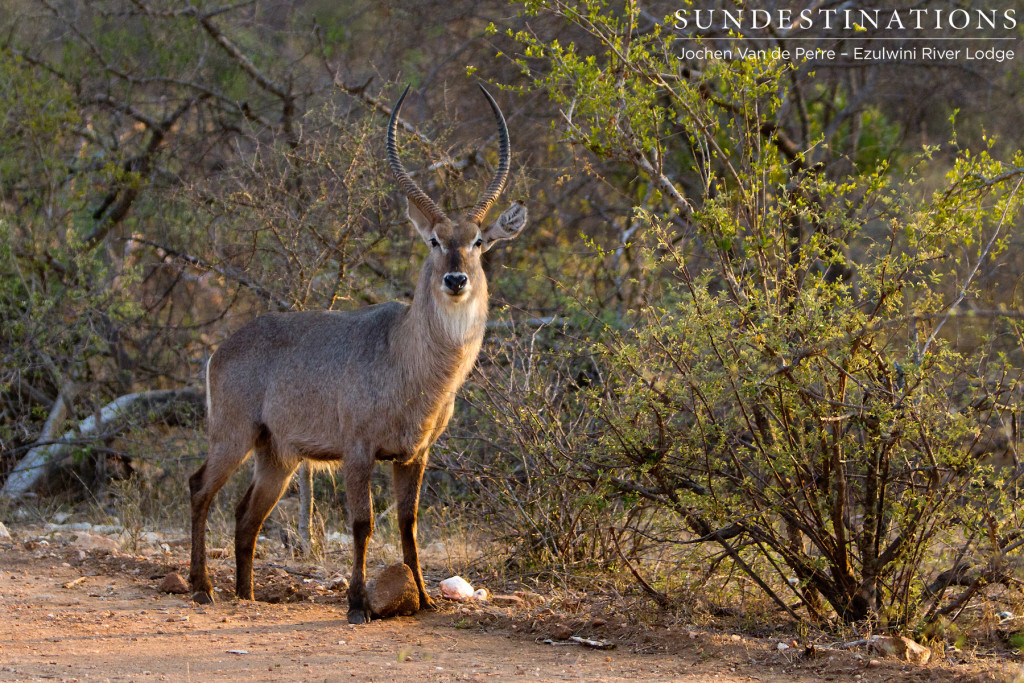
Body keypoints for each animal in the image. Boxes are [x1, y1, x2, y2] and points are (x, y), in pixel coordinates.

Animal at [188, 85, 528, 626]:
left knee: (245, 513)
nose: (456, 280)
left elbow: (408, 526)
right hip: (232, 434)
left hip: (276, 455)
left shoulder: (415, 454)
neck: (408, 360)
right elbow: (363, 524)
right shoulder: (358, 450)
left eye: (478, 241)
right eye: (434, 240)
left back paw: (247, 593)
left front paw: (425, 599)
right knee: (200, 489)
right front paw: (356, 604)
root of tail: (222, 348)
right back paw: (202, 588)